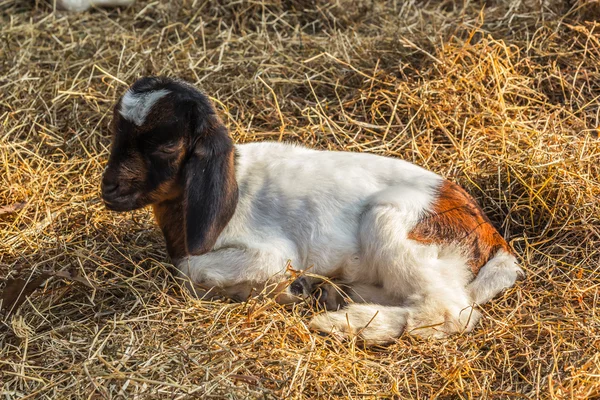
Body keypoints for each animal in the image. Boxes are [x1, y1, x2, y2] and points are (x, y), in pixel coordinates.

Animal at [101, 77, 524, 344]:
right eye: (116, 132)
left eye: (166, 146)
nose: (109, 189)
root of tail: (494, 239)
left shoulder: (273, 254)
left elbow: (190, 269)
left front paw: (286, 288)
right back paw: (335, 294)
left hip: (391, 223)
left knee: (450, 312)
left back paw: (341, 322)